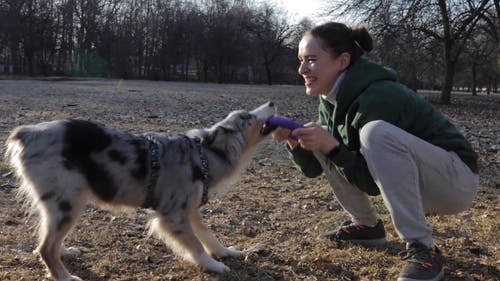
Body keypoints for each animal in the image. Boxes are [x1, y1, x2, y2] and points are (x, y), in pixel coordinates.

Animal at [4, 100, 278, 278]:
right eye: (247, 117)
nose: (272, 101)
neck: (203, 155)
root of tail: (26, 132)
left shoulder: (190, 209)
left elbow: (208, 235)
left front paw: (225, 252)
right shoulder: (173, 215)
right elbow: (195, 244)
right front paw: (214, 265)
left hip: (60, 205)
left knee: (47, 241)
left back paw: (66, 251)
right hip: (68, 202)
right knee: (45, 248)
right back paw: (66, 277)